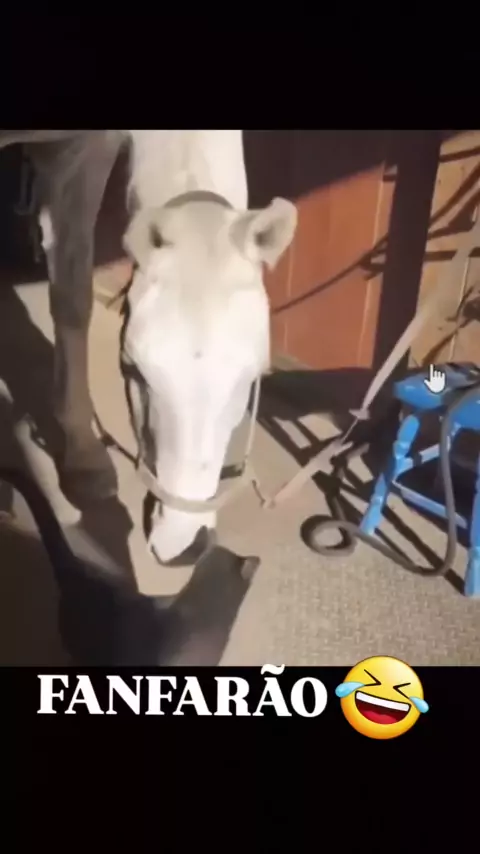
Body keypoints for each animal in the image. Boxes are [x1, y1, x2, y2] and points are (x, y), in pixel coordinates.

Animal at [0, 130, 297, 567]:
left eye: (253, 375)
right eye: (133, 368)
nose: (183, 547)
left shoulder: (82, 152)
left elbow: (72, 294)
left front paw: (83, 455)